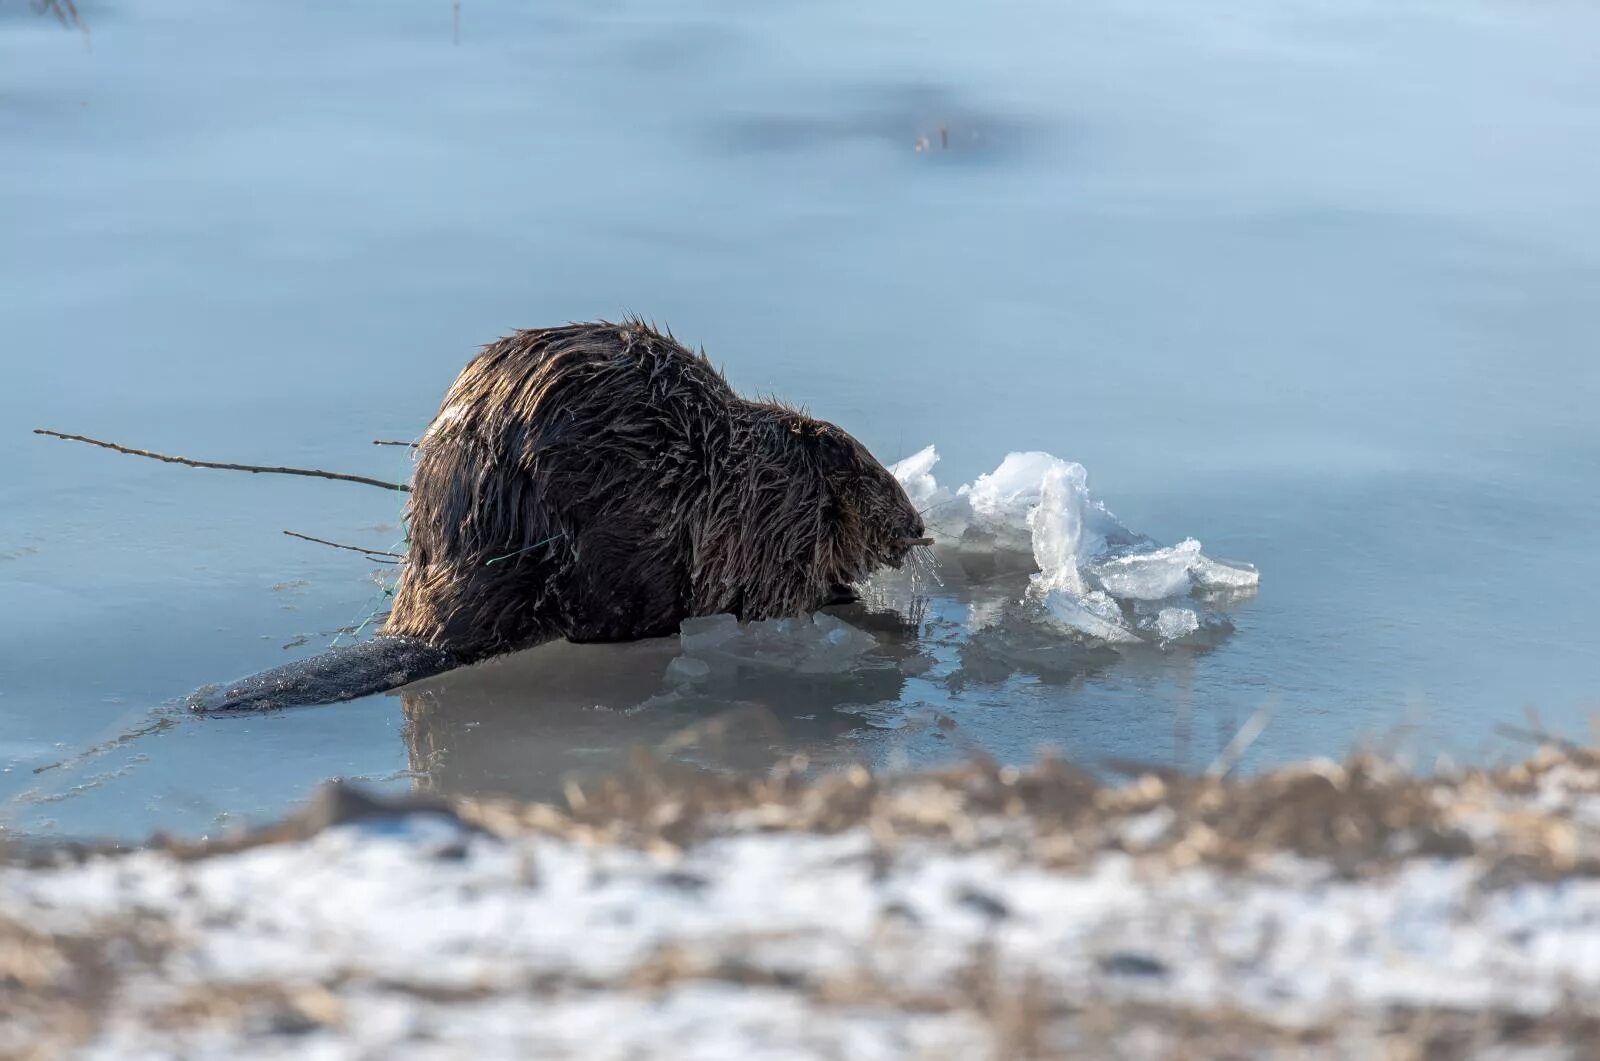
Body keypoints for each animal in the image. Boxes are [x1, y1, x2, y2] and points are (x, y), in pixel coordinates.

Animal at [190, 320, 928, 710]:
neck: (769, 468)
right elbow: (784, 587)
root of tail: (425, 635)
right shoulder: (769, 524)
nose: (920, 528)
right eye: (876, 480)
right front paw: (853, 598)